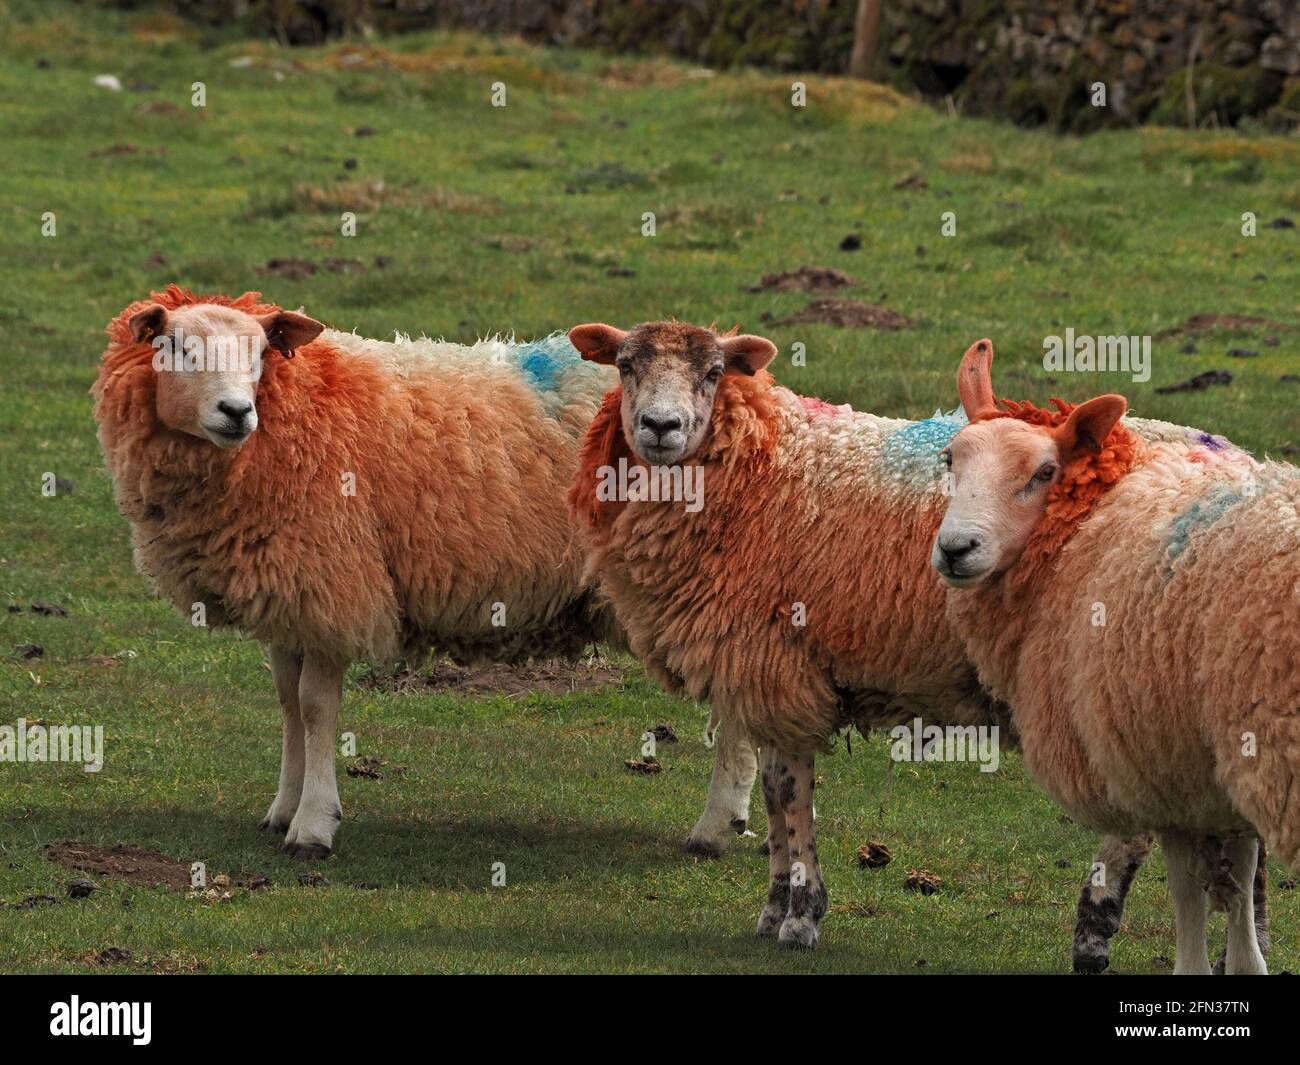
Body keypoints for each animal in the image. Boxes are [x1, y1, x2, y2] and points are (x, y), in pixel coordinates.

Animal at [93, 285, 615, 857]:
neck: (303, 414)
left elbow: (315, 707)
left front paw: (313, 825)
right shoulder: (289, 596)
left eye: (260, 355)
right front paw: (283, 808)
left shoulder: (330, 586)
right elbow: (287, 702)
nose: (237, 411)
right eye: (176, 348)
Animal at [932, 338, 1299, 974]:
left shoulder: (1163, 761)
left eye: (1044, 472)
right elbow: (1238, 877)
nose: (956, 549)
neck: (1093, 519)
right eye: (952, 460)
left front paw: (1198, 964)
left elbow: (1191, 888)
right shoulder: (1218, 758)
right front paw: (1246, 960)